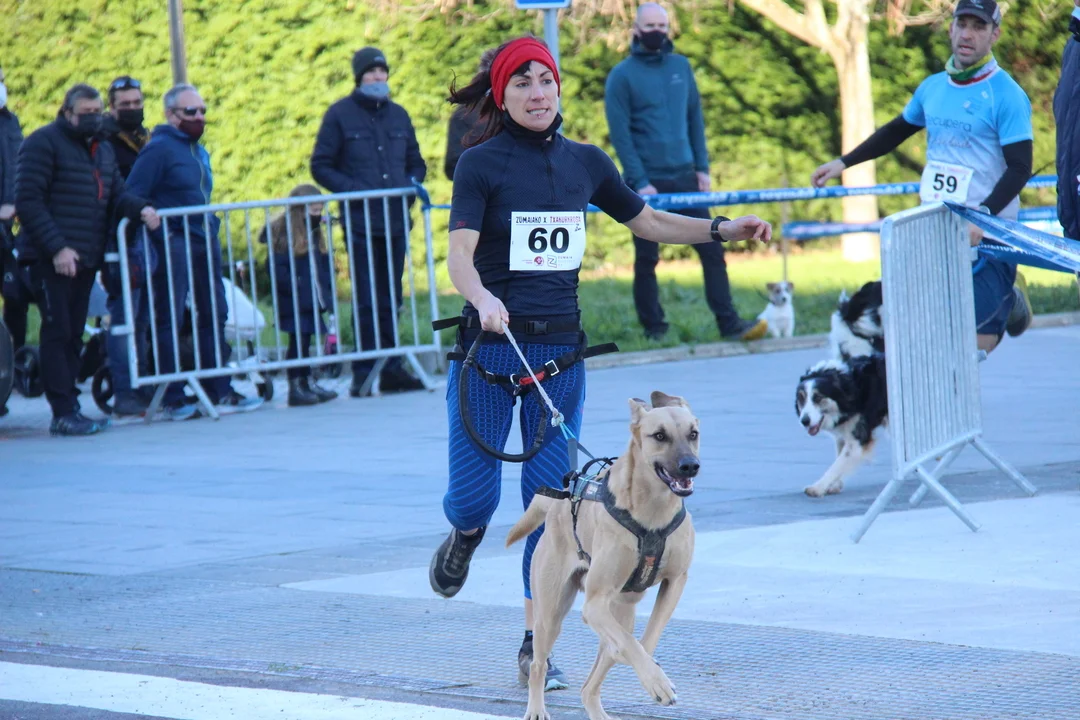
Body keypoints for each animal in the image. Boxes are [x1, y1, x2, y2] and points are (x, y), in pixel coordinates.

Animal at [507, 391, 698, 720]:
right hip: (550, 615)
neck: (653, 509)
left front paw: (650, 672)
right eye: (659, 436)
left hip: (621, 612)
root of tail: (557, 504)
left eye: (693, 434)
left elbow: (646, 640)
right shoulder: (594, 604)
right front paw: (657, 682)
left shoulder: (675, 582)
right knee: (538, 666)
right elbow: (631, 645)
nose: (690, 466)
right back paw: (536, 709)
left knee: (590, 685)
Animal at [795, 353, 888, 497]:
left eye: (818, 398)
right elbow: (840, 458)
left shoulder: (857, 437)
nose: (804, 421)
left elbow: (837, 464)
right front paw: (834, 485)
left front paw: (818, 487)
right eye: (801, 398)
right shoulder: (842, 434)